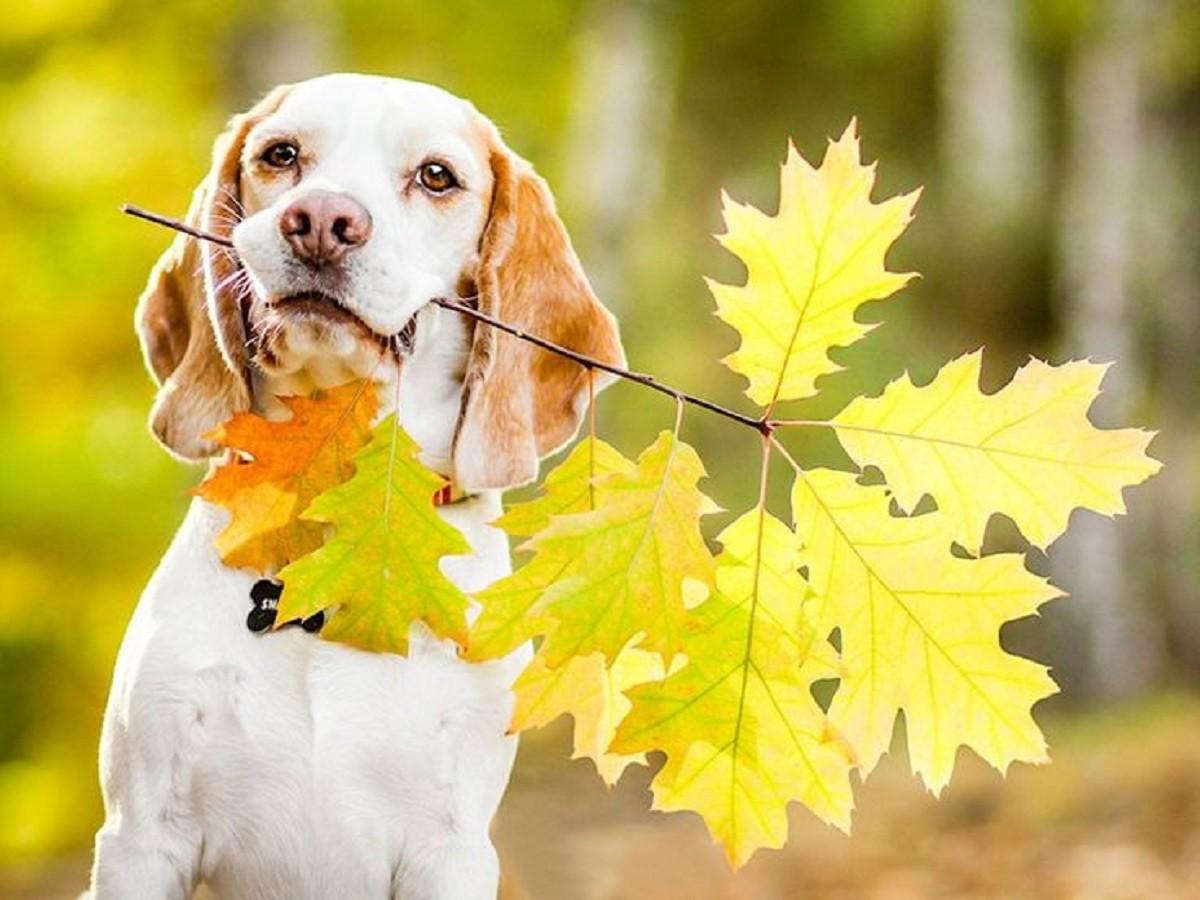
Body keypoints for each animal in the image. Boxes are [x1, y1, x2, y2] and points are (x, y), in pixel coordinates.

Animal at [87, 75, 619, 900]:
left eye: (436, 176)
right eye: (281, 155)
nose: (321, 222)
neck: (342, 505)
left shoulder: (451, 854)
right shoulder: (141, 839)